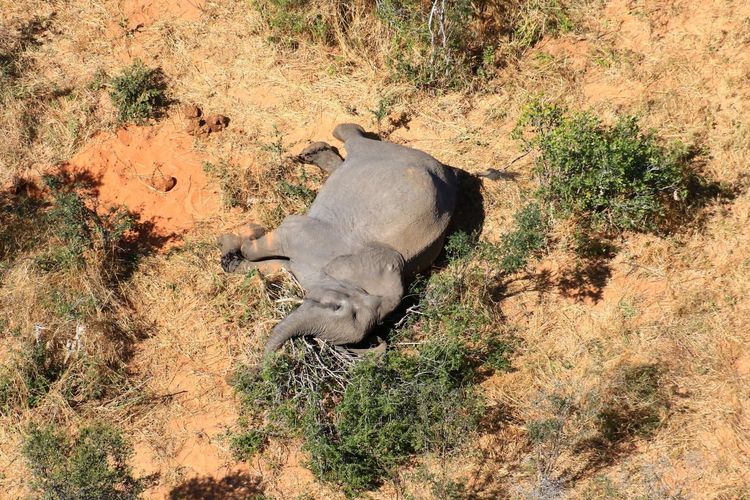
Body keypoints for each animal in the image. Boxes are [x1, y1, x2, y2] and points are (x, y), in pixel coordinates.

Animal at [217, 122, 458, 354]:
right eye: (337, 307)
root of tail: (445, 170)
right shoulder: (311, 237)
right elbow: (274, 240)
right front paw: (240, 238)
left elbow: (278, 265)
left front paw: (230, 257)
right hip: (387, 152)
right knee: (354, 140)